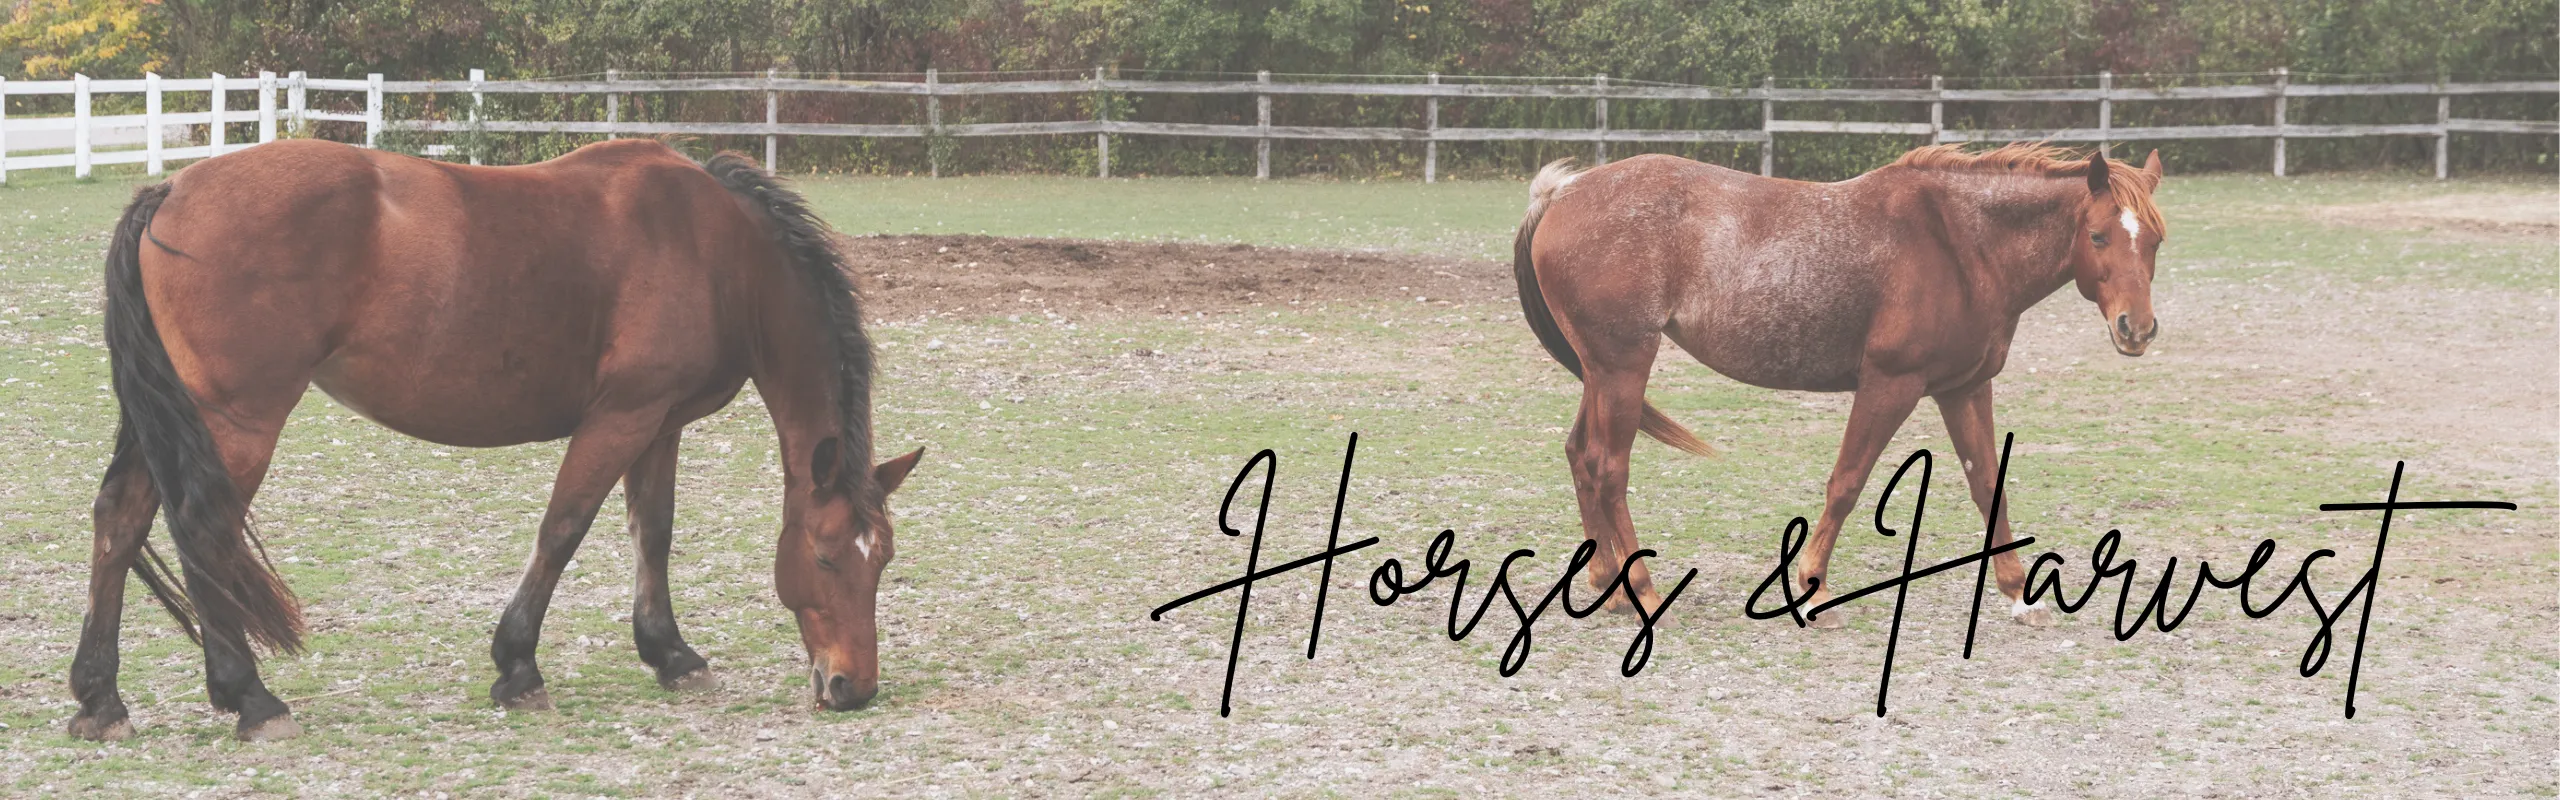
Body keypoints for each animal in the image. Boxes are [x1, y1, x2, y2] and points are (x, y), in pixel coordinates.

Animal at [69, 138, 924, 743]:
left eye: (881, 561)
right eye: (824, 558)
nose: (853, 687)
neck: (714, 250)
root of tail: (171, 191)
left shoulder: (659, 424)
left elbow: (653, 533)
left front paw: (670, 654)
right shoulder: (620, 417)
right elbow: (563, 529)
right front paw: (518, 666)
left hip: (174, 418)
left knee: (120, 520)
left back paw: (101, 699)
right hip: (235, 422)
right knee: (201, 532)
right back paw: (249, 696)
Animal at [1512, 143, 2166, 627]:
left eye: (2155, 240)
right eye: (2100, 236)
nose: (2136, 330)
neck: (1960, 244)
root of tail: (1562, 195)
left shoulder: (1964, 387)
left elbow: (1987, 485)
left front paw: (2016, 593)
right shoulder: (1890, 384)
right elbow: (1847, 483)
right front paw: (1811, 590)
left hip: (1602, 373)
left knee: (1580, 455)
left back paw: (1607, 582)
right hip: (1623, 368)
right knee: (1607, 468)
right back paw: (1645, 592)